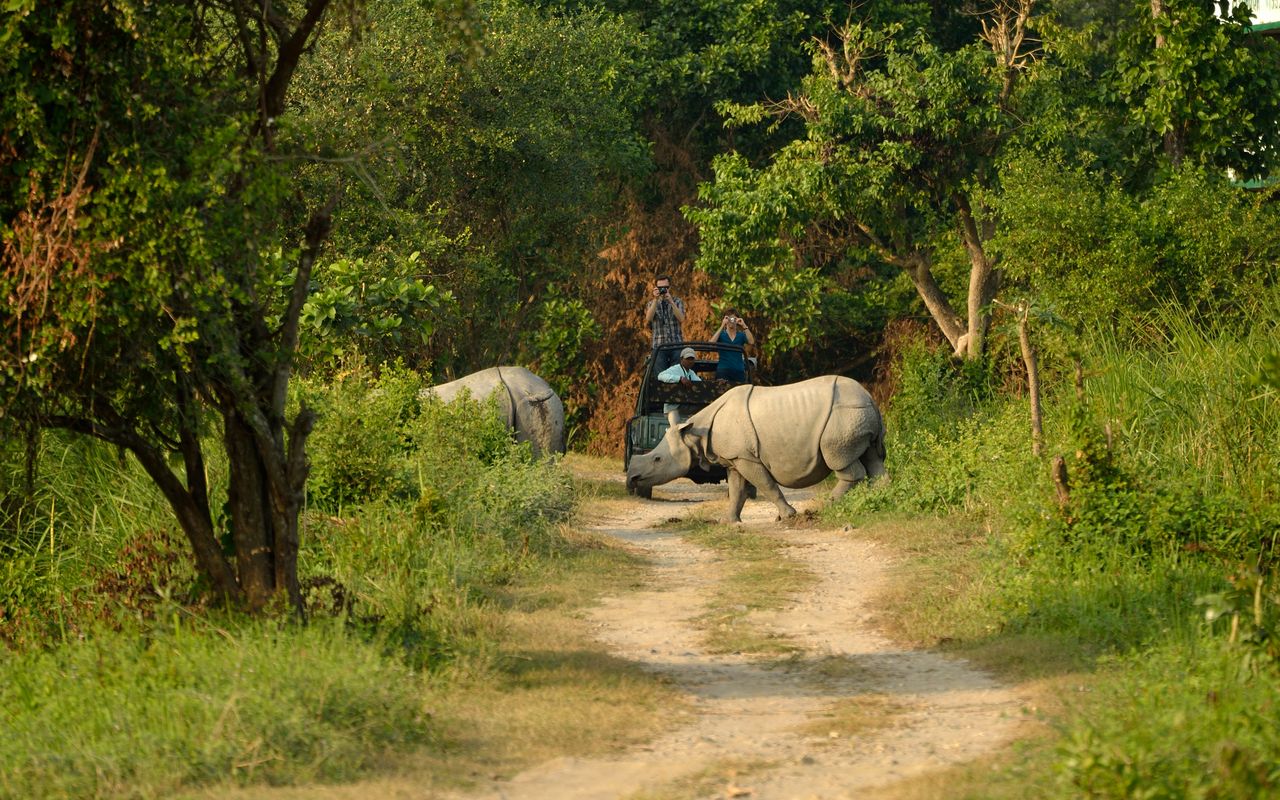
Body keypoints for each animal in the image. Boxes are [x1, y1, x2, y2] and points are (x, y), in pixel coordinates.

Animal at [624, 376, 885, 522]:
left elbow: (767, 485)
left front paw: (787, 516)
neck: (694, 433)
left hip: (844, 416)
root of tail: (870, 398)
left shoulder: (746, 457)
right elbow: (737, 490)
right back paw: (878, 501)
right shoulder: (735, 458)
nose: (632, 478)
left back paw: (822, 509)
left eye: (657, 459)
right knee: (873, 459)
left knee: (841, 461)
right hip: (857, 415)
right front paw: (729, 522)